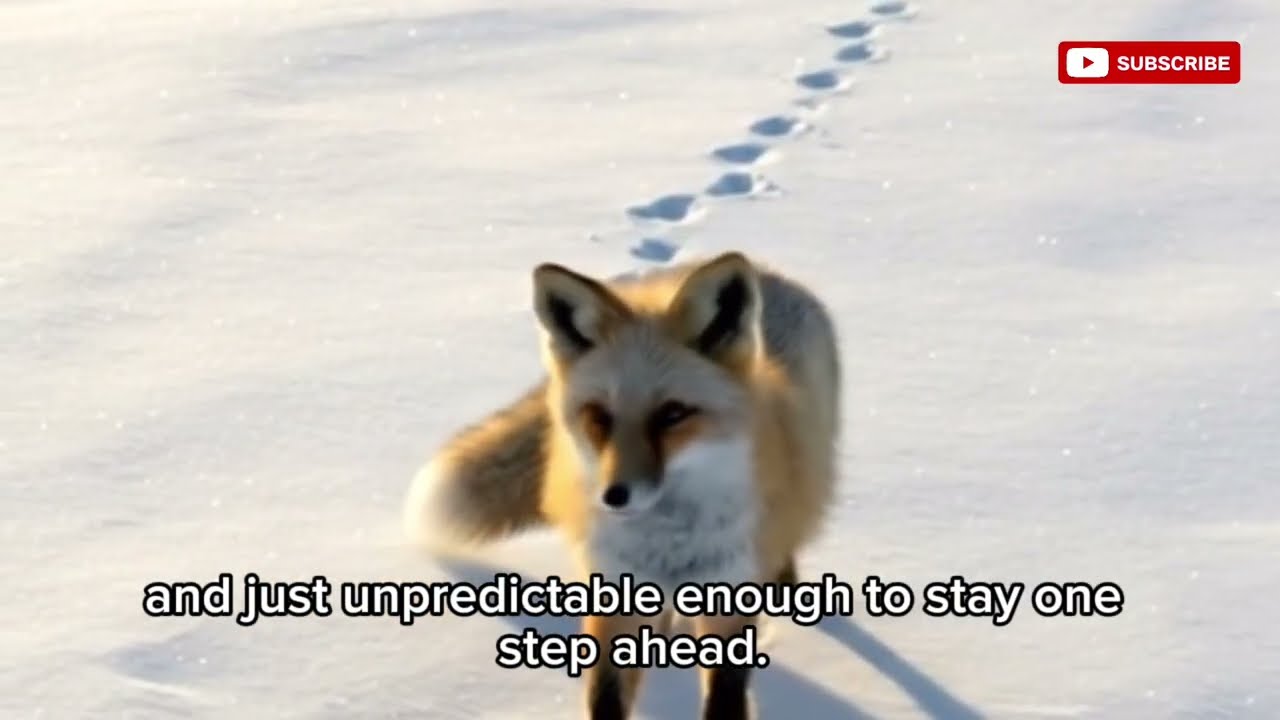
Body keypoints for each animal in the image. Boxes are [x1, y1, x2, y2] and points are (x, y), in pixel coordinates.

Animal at [403, 251, 842, 719]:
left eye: (672, 415)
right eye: (600, 415)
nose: (613, 496)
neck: (668, 547)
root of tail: (765, 272)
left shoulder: (730, 598)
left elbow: (724, 699)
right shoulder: (615, 594)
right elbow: (606, 697)